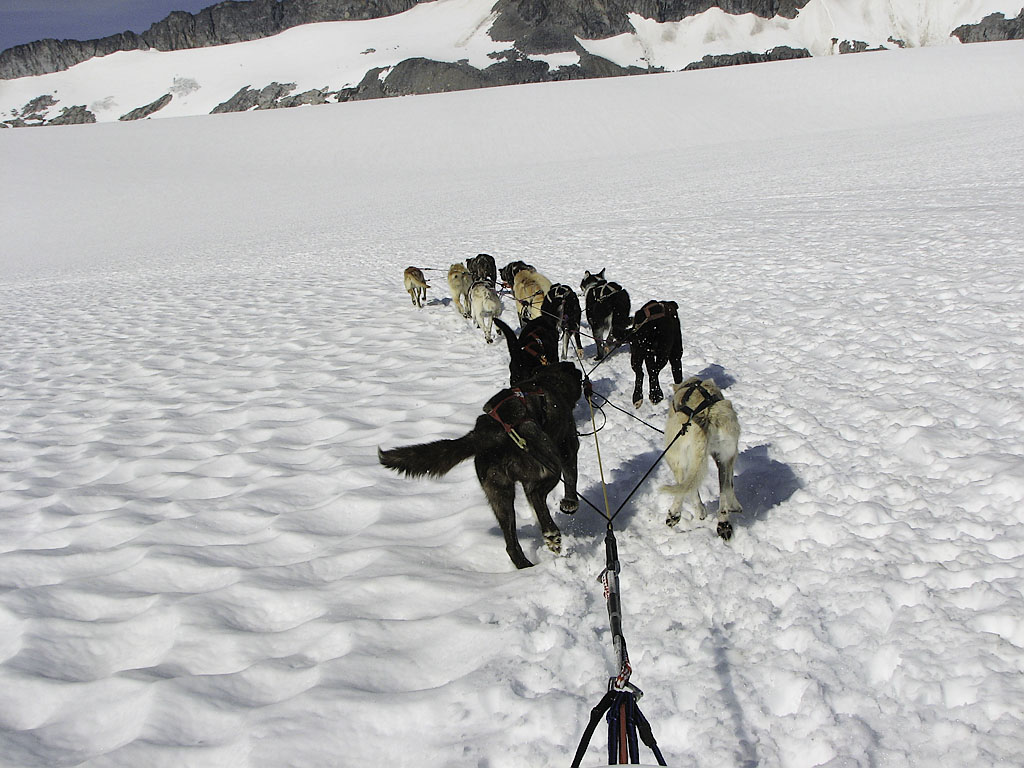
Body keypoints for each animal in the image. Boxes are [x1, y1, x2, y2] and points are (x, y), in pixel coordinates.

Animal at [378, 362, 584, 569]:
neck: (548, 380)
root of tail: (489, 433)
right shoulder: (568, 448)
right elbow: (571, 478)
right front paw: (570, 503)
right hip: (549, 465)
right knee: (536, 494)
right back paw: (551, 535)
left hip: (499, 494)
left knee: (511, 544)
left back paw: (527, 566)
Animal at [662, 377, 742, 540]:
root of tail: (706, 415)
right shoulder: (729, 457)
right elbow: (730, 486)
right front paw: (735, 506)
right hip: (725, 458)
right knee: (724, 489)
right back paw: (723, 523)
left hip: (674, 454)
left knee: (683, 485)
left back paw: (675, 514)